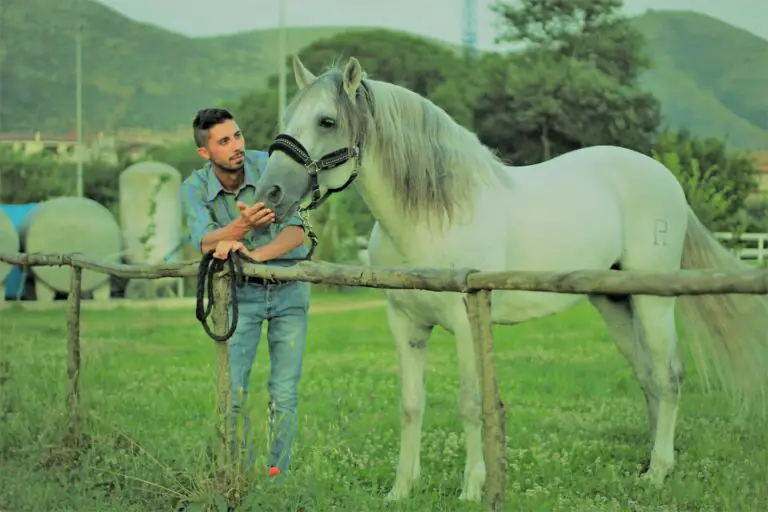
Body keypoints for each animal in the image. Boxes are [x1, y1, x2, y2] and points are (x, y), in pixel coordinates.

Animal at [251, 55, 768, 502]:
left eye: (327, 122)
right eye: (289, 115)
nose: (268, 193)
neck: (433, 215)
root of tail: (664, 177)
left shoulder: (465, 323)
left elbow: (470, 404)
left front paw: (471, 490)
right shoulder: (405, 325)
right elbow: (411, 406)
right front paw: (400, 490)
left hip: (652, 301)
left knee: (669, 377)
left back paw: (659, 472)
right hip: (613, 302)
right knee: (647, 377)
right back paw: (650, 464)